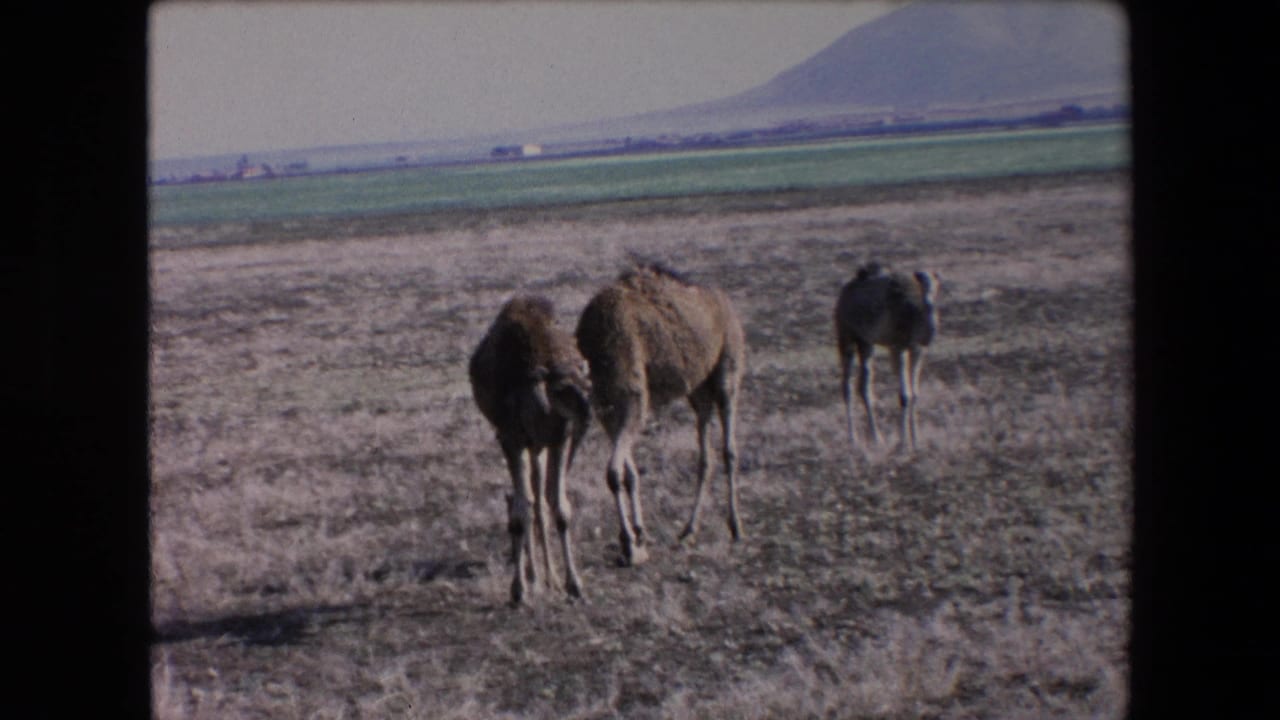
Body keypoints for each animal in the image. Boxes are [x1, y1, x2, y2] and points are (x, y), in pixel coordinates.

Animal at [469, 295, 591, 604]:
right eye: (564, 391)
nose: (585, 409)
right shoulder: (513, 439)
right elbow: (524, 510)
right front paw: (520, 588)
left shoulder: (556, 439)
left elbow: (559, 508)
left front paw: (573, 584)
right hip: (526, 443)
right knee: (531, 501)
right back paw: (537, 577)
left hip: (540, 444)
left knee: (540, 501)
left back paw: (547, 578)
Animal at [575, 263, 745, 566]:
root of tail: (726, 304)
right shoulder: (608, 411)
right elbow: (629, 473)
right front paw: (639, 534)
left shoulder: (631, 400)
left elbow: (614, 472)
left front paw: (630, 544)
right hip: (698, 389)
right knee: (706, 454)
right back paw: (689, 531)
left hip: (728, 370)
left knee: (729, 448)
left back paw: (735, 527)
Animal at [834, 262, 939, 454]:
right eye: (923, 283)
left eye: (936, 285)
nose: (929, 301)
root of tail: (845, 291)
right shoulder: (898, 347)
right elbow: (904, 395)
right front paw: (903, 443)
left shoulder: (918, 350)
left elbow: (915, 394)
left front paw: (916, 440)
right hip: (846, 335)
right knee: (847, 386)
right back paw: (853, 438)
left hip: (866, 342)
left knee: (864, 386)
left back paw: (876, 438)